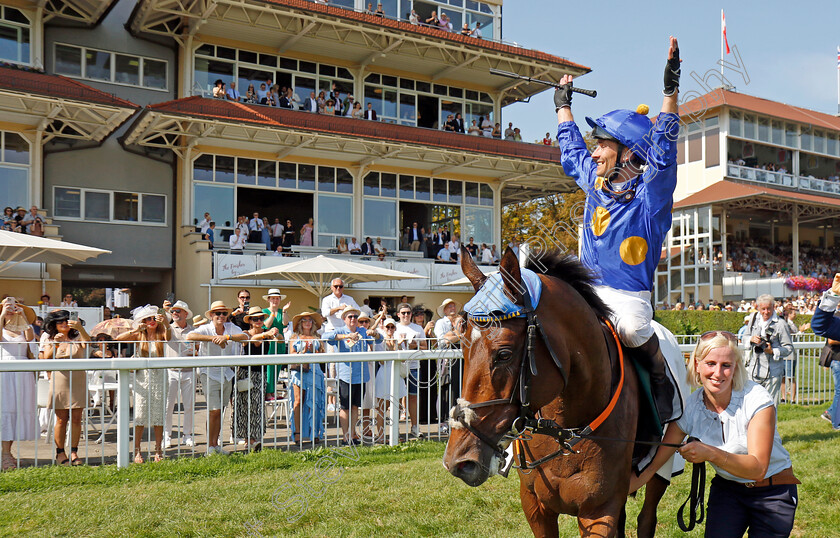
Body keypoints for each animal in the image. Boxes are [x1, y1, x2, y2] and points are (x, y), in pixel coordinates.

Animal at [442, 245, 648, 532]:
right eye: (461, 345)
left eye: (504, 354)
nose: (459, 462)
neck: (567, 430)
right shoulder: (535, 506)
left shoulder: (600, 510)